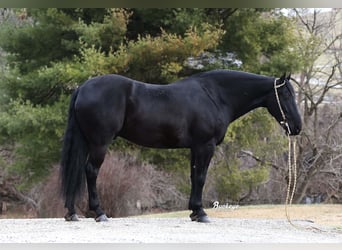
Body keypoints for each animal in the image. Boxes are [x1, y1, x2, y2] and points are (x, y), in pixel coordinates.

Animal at [60, 70, 300, 223]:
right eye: (286, 95)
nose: (297, 127)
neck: (215, 96)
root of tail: (82, 88)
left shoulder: (195, 148)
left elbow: (194, 177)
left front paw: (194, 211)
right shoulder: (205, 146)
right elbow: (201, 178)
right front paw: (201, 213)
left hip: (87, 142)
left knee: (77, 171)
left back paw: (72, 213)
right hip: (100, 143)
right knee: (91, 171)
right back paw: (99, 213)